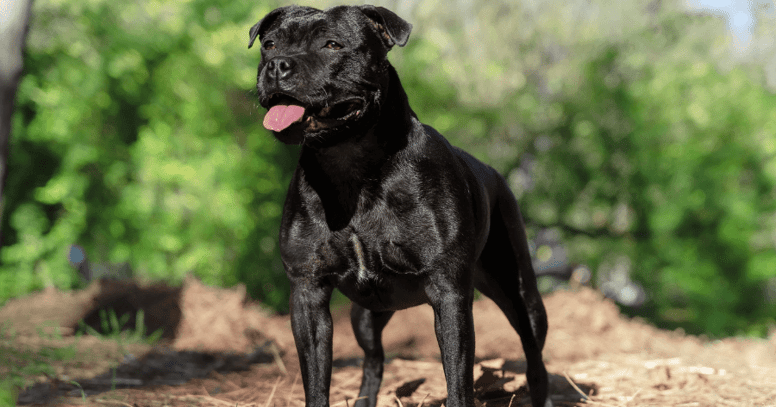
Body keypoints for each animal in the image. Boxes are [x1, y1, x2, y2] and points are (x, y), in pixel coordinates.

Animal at [249, 5, 552, 407]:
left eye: (332, 44)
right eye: (269, 44)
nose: (277, 65)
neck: (351, 167)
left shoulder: (449, 292)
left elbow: (458, 377)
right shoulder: (307, 294)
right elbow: (316, 378)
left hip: (521, 293)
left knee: (534, 355)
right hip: (365, 314)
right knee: (374, 357)